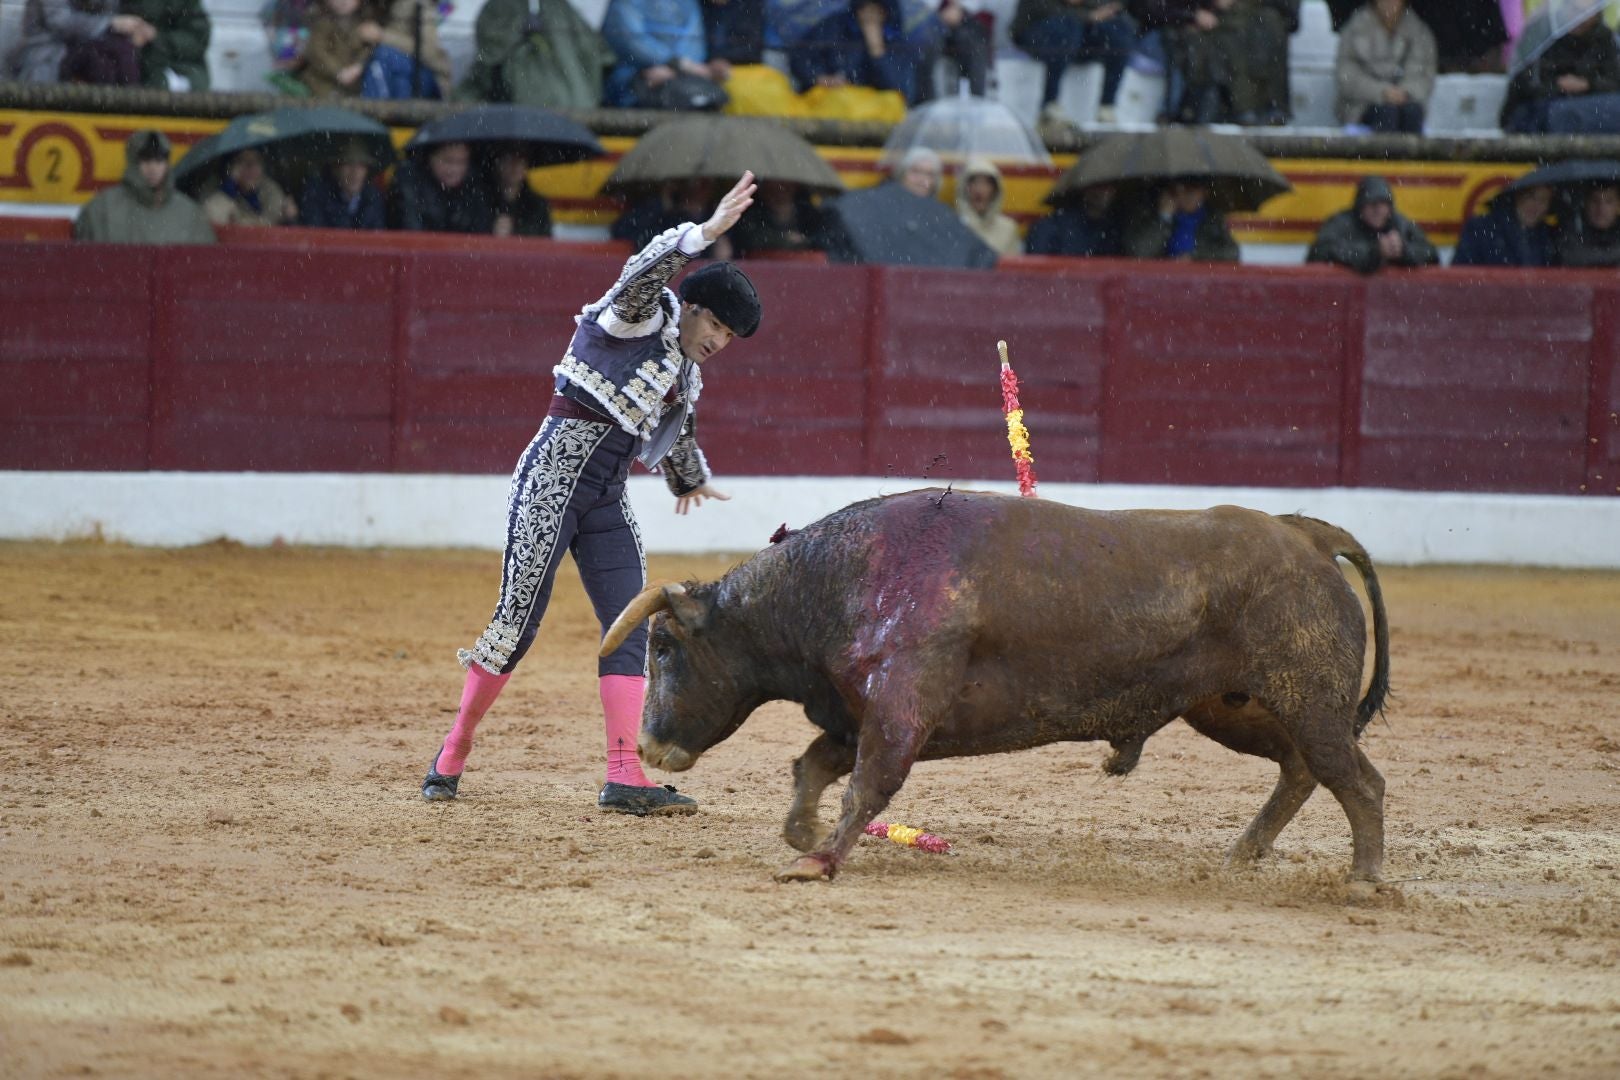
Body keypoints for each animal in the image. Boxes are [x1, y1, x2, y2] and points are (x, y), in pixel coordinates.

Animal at [602, 488, 1386, 887]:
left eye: (664, 647)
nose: (649, 746)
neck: (835, 580)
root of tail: (1305, 535)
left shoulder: (901, 707)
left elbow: (866, 784)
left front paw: (819, 859)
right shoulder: (863, 713)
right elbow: (817, 765)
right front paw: (803, 835)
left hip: (1305, 696)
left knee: (1356, 779)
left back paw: (1365, 878)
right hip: (1232, 707)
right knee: (1304, 768)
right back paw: (1245, 854)